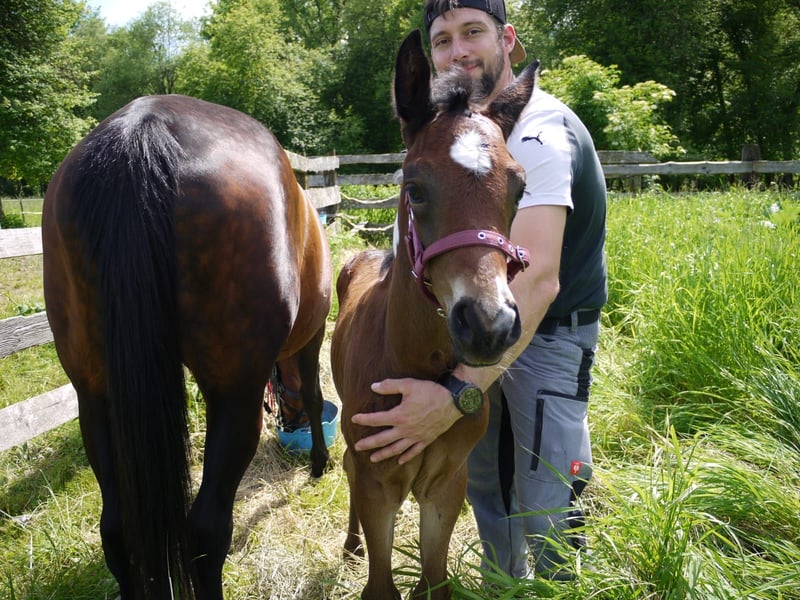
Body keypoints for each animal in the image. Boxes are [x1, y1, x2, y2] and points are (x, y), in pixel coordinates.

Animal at [41, 94, 332, 599]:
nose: (287, 423)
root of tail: (142, 130)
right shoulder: (311, 338)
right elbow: (315, 397)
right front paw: (319, 462)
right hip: (234, 394)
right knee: (207, 530)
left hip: (94, 393)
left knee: (116, 529)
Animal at [330, 30, 538, 600]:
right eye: (415, 188)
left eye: (520, 188)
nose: (488, 325)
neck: (412, 364)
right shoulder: (379, 480)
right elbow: (381, 584)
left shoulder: (447, 484)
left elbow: (434, 581)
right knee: (346, 467)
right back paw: (351, 544)